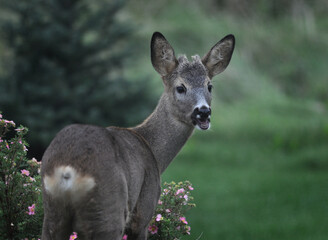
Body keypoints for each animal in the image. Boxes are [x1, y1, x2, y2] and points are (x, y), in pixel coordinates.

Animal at [41, 31, 234, 240]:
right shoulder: (143, 211)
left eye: (209, 86)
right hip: (110, 210)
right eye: (181, 87)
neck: (152, 149)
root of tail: (67, 172)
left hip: (52, 216)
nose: (204, 112)